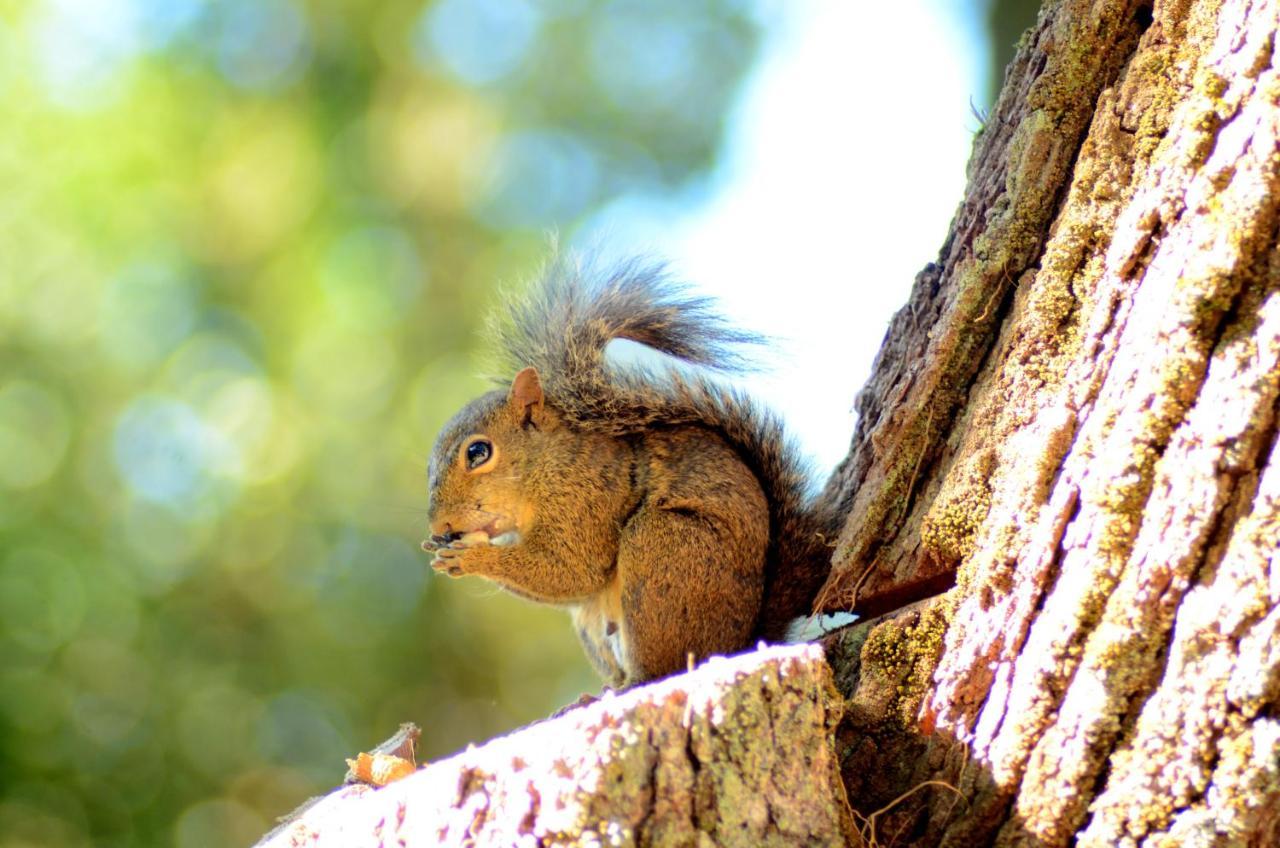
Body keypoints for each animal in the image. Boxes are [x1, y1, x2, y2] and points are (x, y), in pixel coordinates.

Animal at [419, 253, 839, 691]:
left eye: (478, 452)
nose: (440, 526)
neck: (547, 466)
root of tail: (743, 640)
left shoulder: (588, 500)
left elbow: (572, 569)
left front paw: (472, 558)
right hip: (594, 623)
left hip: (660, 548)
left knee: (663, 665)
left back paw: (633, 683)